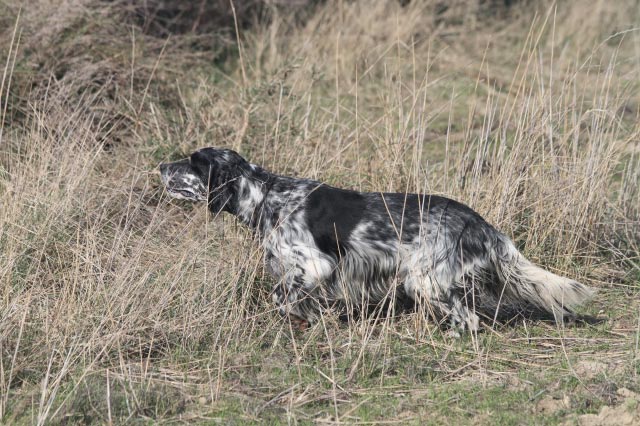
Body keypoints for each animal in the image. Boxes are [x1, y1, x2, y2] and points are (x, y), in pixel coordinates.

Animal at [160, 147, 596, 332]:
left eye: (193, 163)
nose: (161, 165)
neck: (268, 196)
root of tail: (481, 223)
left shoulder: (315, 266)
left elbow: (282, 299)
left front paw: (306, 321)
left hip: (424, 280)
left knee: (468, 320)